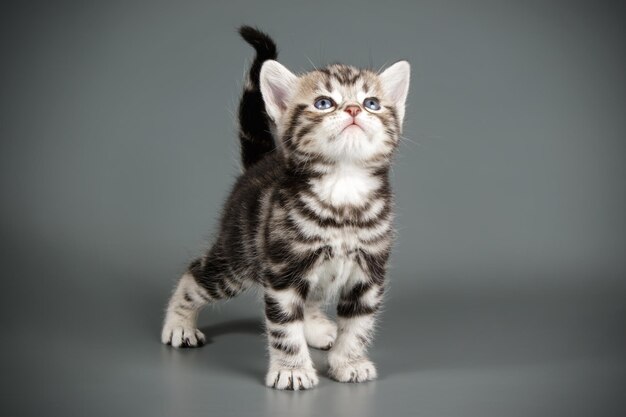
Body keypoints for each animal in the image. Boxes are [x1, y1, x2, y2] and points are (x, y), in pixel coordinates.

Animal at [160, 26, 410, 390]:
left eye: (372, 103)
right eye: (324, 103)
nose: (353, 110)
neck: (343, 189)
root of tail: (261, 163)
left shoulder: (369, 275)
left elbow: (359, 324)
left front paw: (349, 362)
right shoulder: (283, 273)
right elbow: (284, 327)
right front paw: (292, 370)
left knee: (312, 298)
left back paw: (318, 328)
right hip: (237, 259)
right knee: (195, 275)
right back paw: (179, 324)